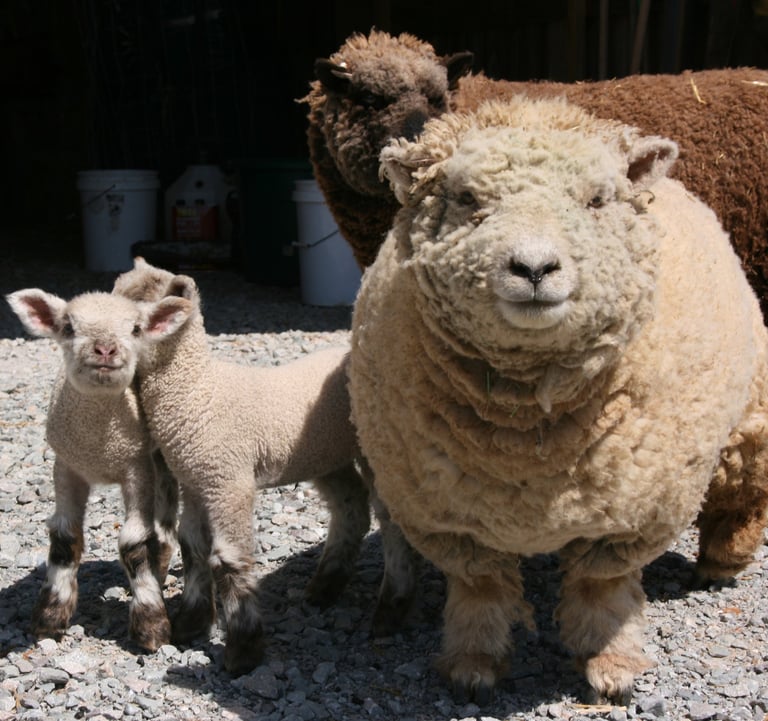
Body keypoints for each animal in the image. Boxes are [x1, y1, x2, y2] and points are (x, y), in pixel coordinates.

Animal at [5, 289, 178, 652]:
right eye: (68, 327)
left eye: (136, 329)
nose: (105, 349)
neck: (98, 444)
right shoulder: (67, 466)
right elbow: (64, 536)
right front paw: (50, 617)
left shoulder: (136, 467)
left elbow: (134, 542)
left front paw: (151, 623)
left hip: (161, 458)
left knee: (165, 520)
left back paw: (160, 568)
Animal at [112, 258, 404, 676]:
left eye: (138, 323)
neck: (198, 390)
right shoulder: (198, 481)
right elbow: (192, 546)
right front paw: (189, 624)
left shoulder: (229, 481)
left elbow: (229, 562)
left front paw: (243, 652)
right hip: (325, 453)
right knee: (351, 506)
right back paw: (324, 589)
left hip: (375, 449)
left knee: (392, 524)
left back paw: (390, 611)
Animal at [347, 97, 768, 705]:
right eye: (466, 199)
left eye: (596, 200)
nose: (534, 269)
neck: (528, 428)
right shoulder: (447, 516)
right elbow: (481, 587)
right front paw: (473, 664)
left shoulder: (631, 515)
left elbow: (600, 588)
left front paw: (610, 666)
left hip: (747, 416)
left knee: (746, 486)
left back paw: (722, 560)